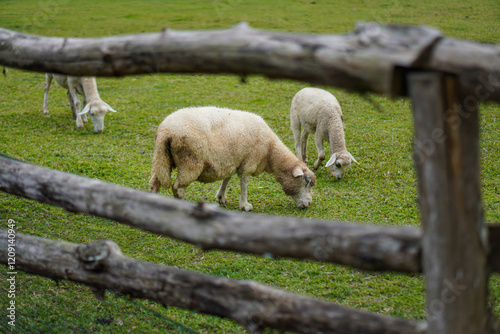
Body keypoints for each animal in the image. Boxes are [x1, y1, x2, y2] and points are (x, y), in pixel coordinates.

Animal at [146, 107, 316, 211]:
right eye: (306, 182)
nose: (308, 204)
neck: (270, 151)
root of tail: (165, 131)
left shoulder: (232, 161)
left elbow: (226, 179)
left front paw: (221, 197)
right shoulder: (248, 163)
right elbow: (244, 184)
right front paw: (245, 205)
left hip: (161, 158)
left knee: (154, 183)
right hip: (190, 162)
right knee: (178, 188)